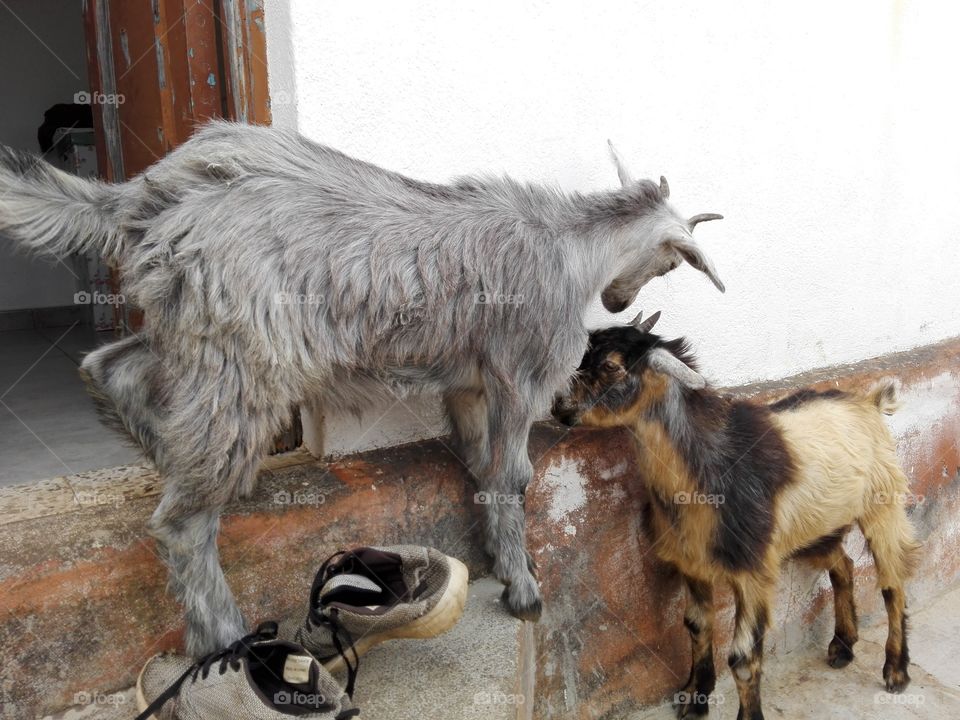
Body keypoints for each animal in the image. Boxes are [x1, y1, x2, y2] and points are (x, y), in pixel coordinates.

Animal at [0, 123, 725, 655]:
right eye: (670, 260)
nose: (619, 300)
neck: (570, 244)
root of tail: (150, 195)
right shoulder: (522, 375)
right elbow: (513, 475)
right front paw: (522, 588)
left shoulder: (471, 383)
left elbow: (481, 466)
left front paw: (497, 555)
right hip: (245, 354)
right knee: (182, 521)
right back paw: (225, 636)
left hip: (192, 322)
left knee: (112, 364)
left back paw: (153, 442)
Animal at [552, 313, 920, 720]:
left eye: (611, 366)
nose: (559, 406)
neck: (706, 468)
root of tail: (869, 402)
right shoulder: (693, 562)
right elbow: (696, 625)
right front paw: (696, 696)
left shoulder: (753, 570)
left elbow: (742, 659)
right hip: (815, 525)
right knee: (843, 565)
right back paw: (843, 644)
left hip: (881, 505)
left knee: (892, 583)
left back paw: (896, 670)